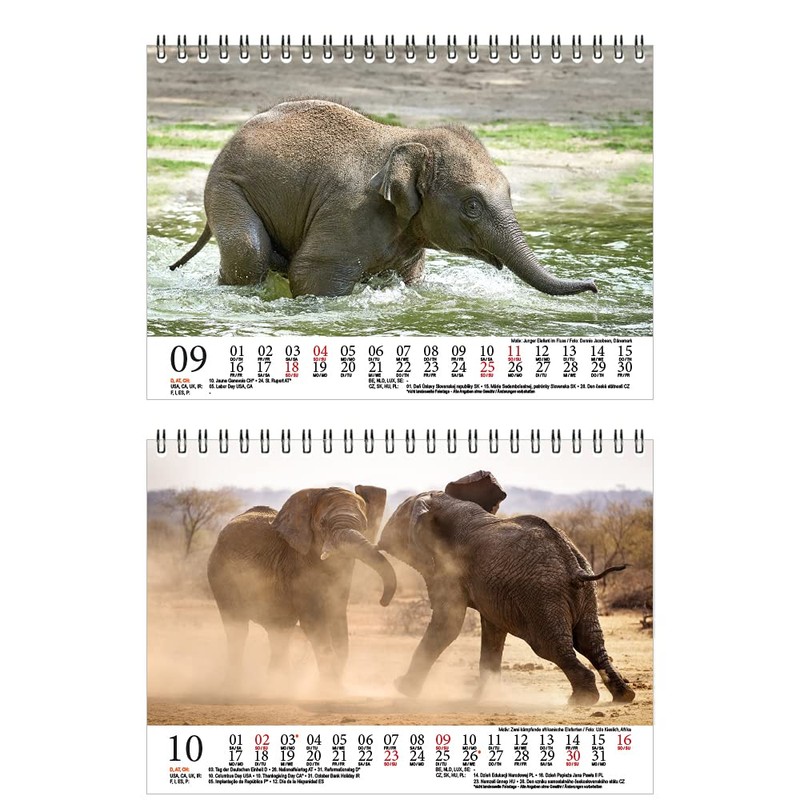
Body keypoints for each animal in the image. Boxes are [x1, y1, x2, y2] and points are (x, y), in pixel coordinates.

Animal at [168, 99, 597, 298]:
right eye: (472, 207)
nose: (594, 286)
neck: (409, 137)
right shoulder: (351, 213)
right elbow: (312, 274)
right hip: (226, 188)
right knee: (248, 252)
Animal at [207, 485, 396, 689]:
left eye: (364, 526)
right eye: (322, 523)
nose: (383, 601)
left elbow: (337, 618)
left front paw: (334, 688)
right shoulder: (298, 565)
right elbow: (313, 622)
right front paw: (331, 689)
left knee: (280, 630)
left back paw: (279, 684)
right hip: (220, 574)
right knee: (237, 628)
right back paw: (234, 685)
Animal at [378, 473, 635, 706]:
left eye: (398, 514)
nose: (380, 542)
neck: (450, 504)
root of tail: (572, 563)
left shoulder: (449, 566)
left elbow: (448, 624)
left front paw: (402, 688)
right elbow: (493, 630)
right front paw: (481, 699)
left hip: (542, 596)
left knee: (551, 645)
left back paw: (583, 699)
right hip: (583, 593)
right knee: (590, 641)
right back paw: (624, 695)